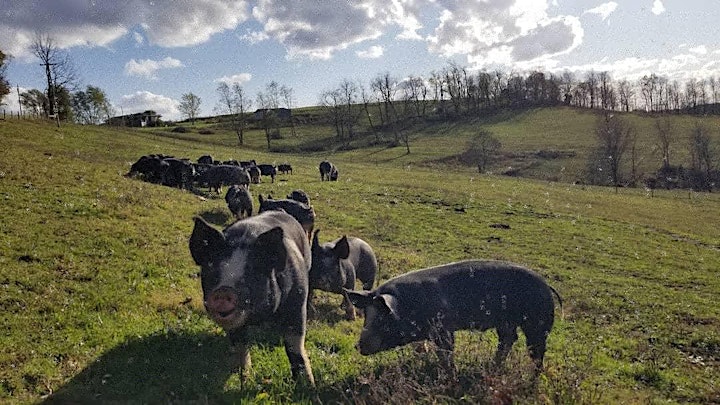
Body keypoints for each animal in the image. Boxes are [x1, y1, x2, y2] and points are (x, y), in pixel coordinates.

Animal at [188, 211, 316, 386]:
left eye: (252, 274)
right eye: (212, 270)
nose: (223, 291)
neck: (258, 318)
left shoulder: (297, 303)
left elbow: (294, 345)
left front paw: (308, 385)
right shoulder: (236, 326)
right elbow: (240, 344)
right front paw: (243, 375)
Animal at [348, 260, 564, 374]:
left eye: (382, 318)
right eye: (366, 315)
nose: (358, 345)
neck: (408, 304)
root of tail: (547, 286)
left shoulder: (444, 329)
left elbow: (446, 352)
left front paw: (450, 372)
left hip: (538, 323)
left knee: (536, 351)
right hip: (506, 323)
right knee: (509, 339)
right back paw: (492, 367)